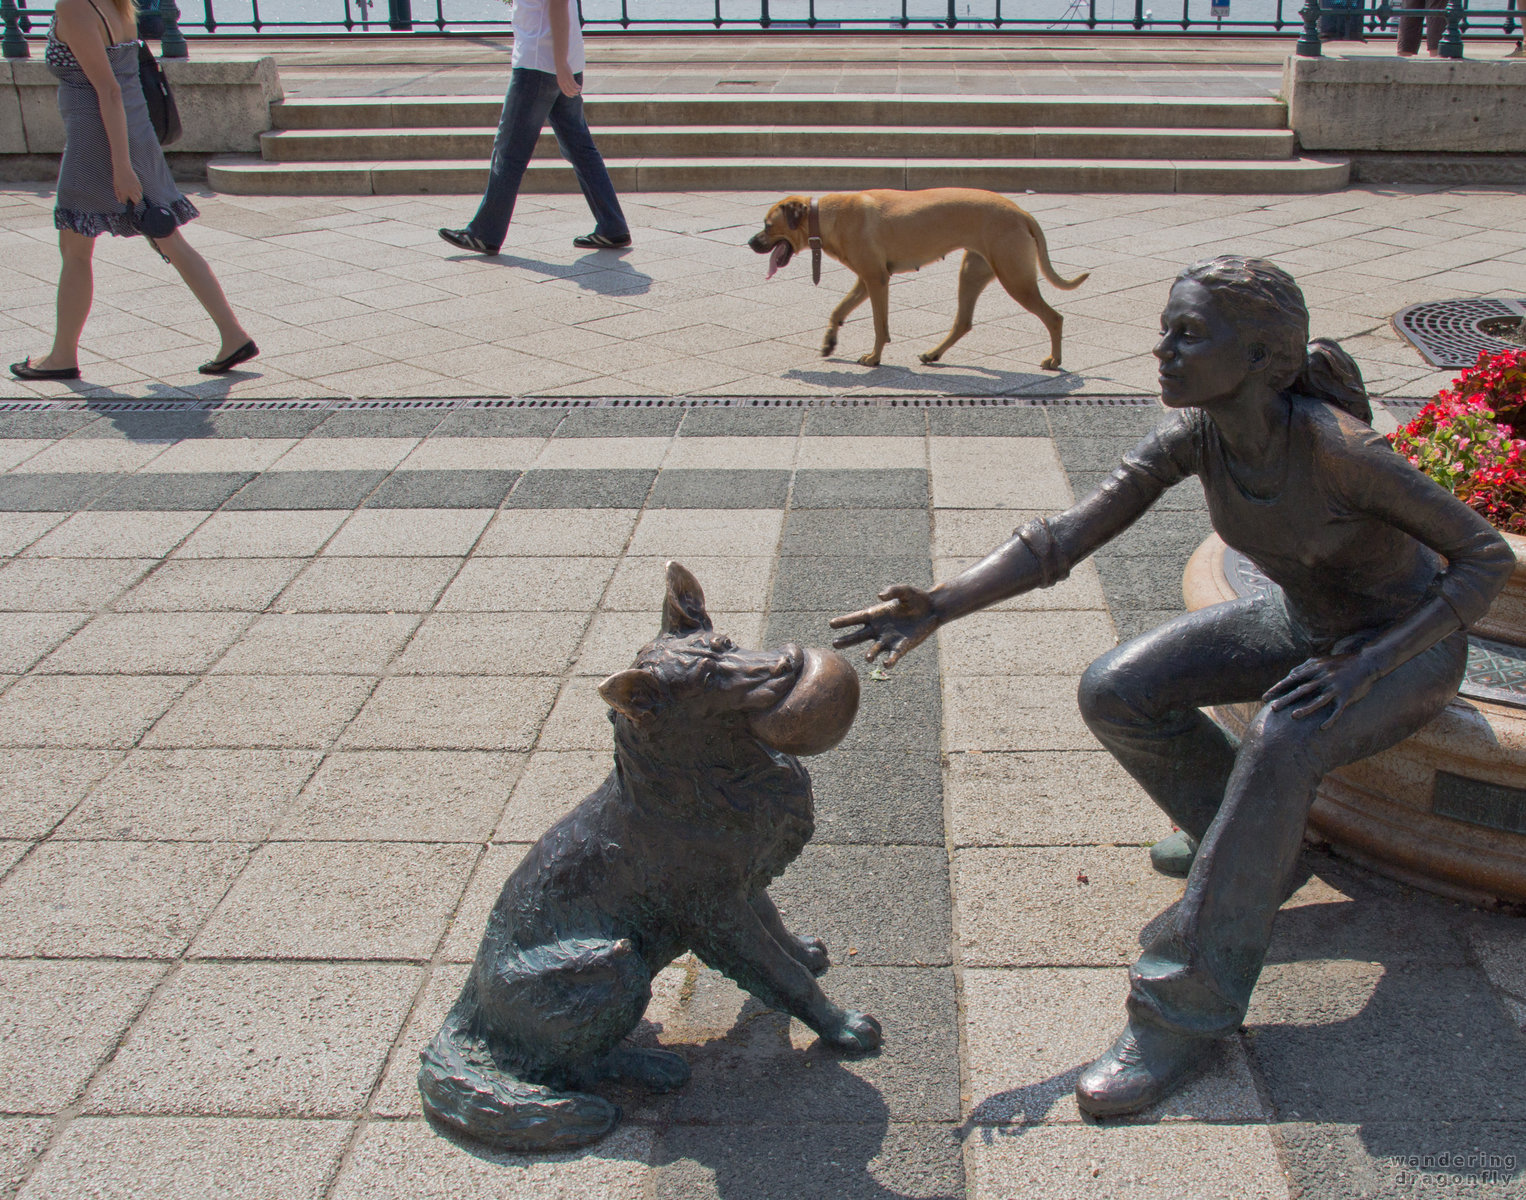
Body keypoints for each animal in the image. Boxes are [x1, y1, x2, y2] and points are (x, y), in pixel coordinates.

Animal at [747, 183, 1086, 364]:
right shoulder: (865, 279)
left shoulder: (876, 280)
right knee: (963, 322)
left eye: (767, 225)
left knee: (1054, 317)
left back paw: (1055, 360)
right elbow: (838, 310)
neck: (827, 217)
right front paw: (830, 340)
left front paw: (874, 358)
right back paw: (933, 354)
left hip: (1015, 277)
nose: (750, 242)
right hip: (973, 272)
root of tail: (1023, 213)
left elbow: (879, 325)